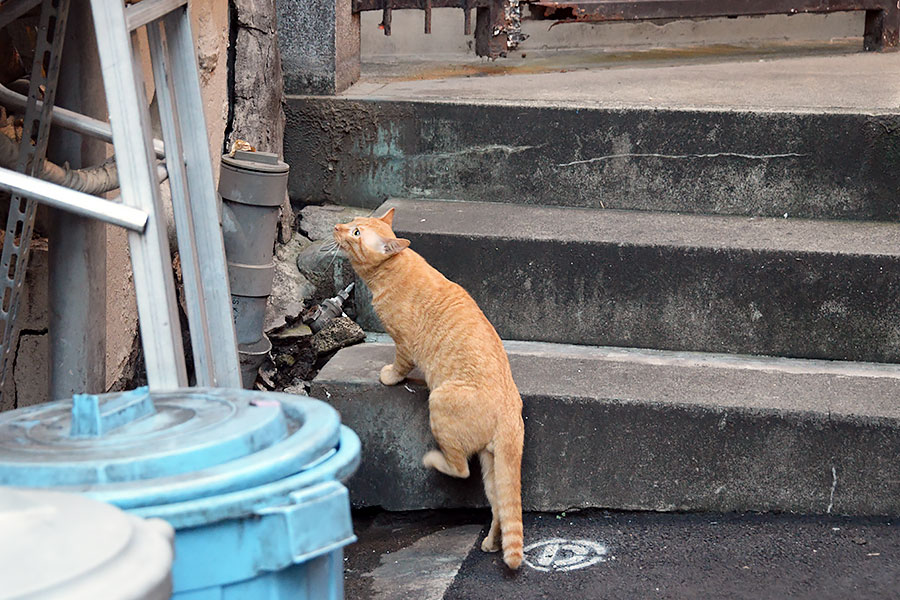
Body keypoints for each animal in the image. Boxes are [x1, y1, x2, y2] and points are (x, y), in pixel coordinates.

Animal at [334, 209, 524, 568]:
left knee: (460, 469)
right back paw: (491, 543)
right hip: (492, 465)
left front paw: (389, 377)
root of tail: (510, 411)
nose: (337, 226)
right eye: (352, 221)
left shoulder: (404, 345)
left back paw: (433, 461)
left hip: (439, 404)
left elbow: (398, 367)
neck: (394, 267)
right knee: (499, 506)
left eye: (356, 233)